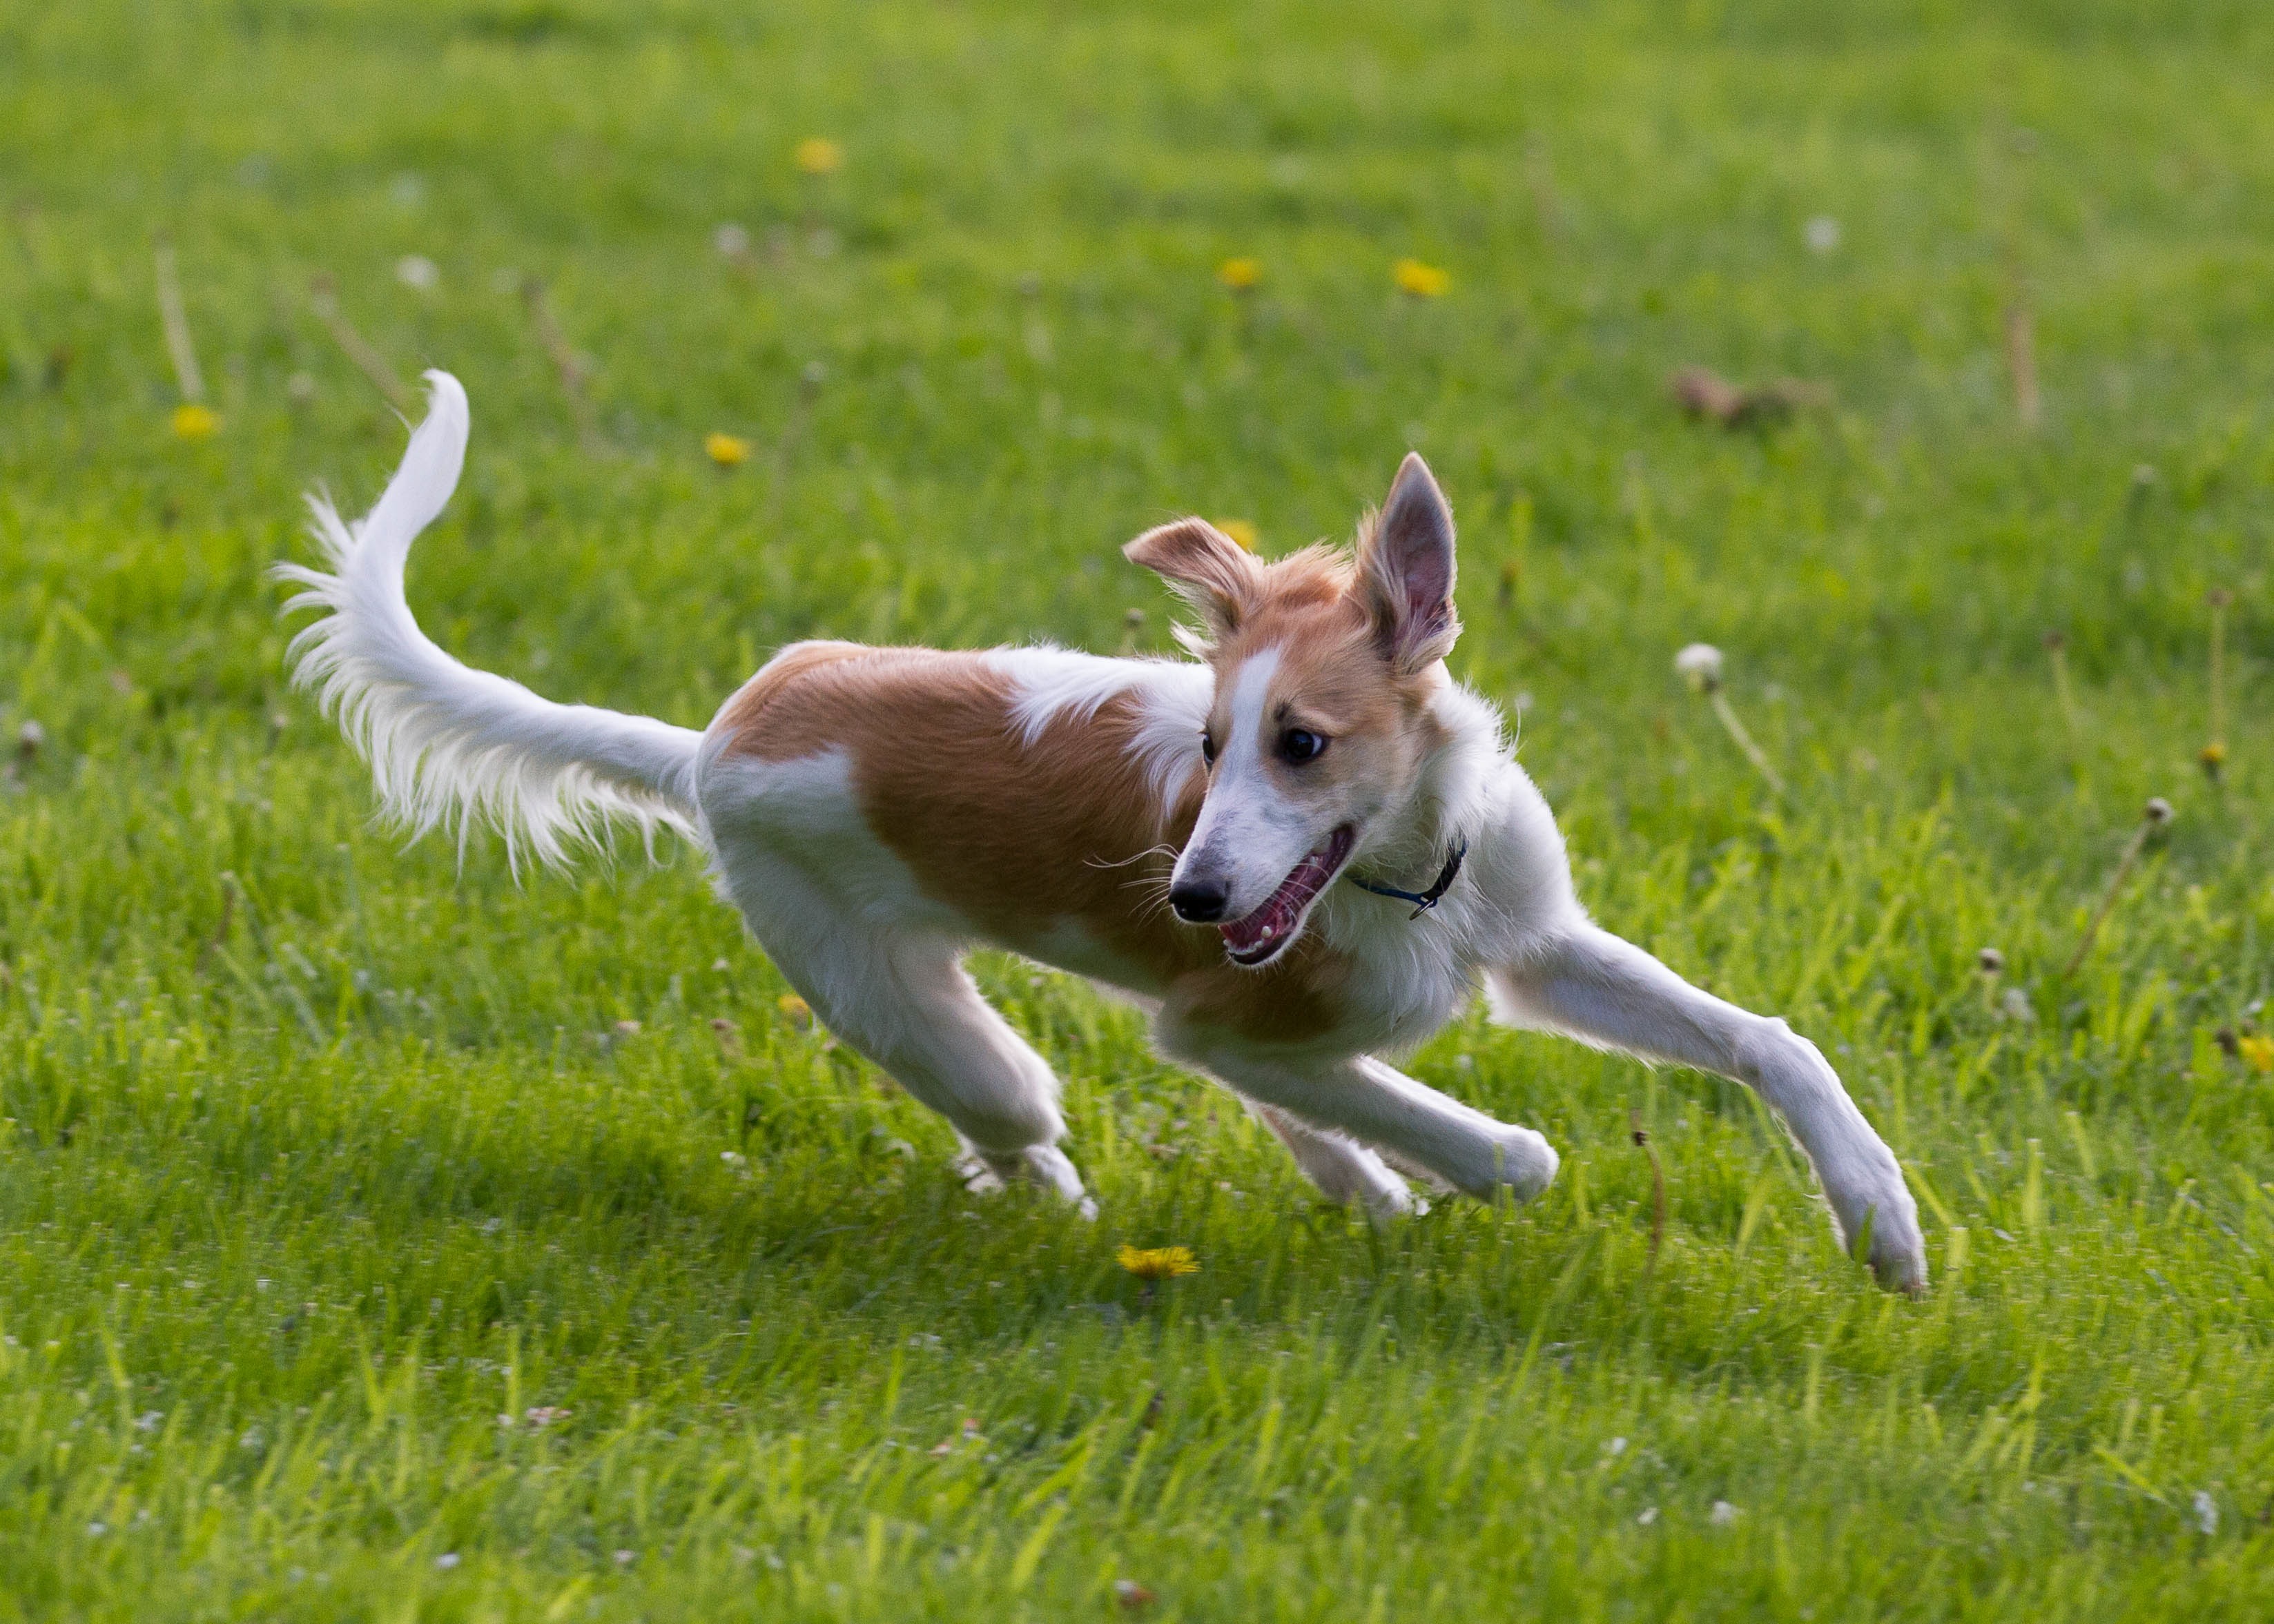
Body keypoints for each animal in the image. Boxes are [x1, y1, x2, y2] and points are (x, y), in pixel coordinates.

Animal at [280, 373, 1919, 1282]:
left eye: (1300, 742)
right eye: (1205, 746)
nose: (1188, 900)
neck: (1408, 886)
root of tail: (711, 744)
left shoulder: (1532, 943)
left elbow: (1772, 1041)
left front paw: (1883, 1226)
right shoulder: (1216, 1020)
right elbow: (1489, 1143)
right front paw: (1461, 1161)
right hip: (909, 1013)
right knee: (1024, 1133)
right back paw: (1112, 1214)